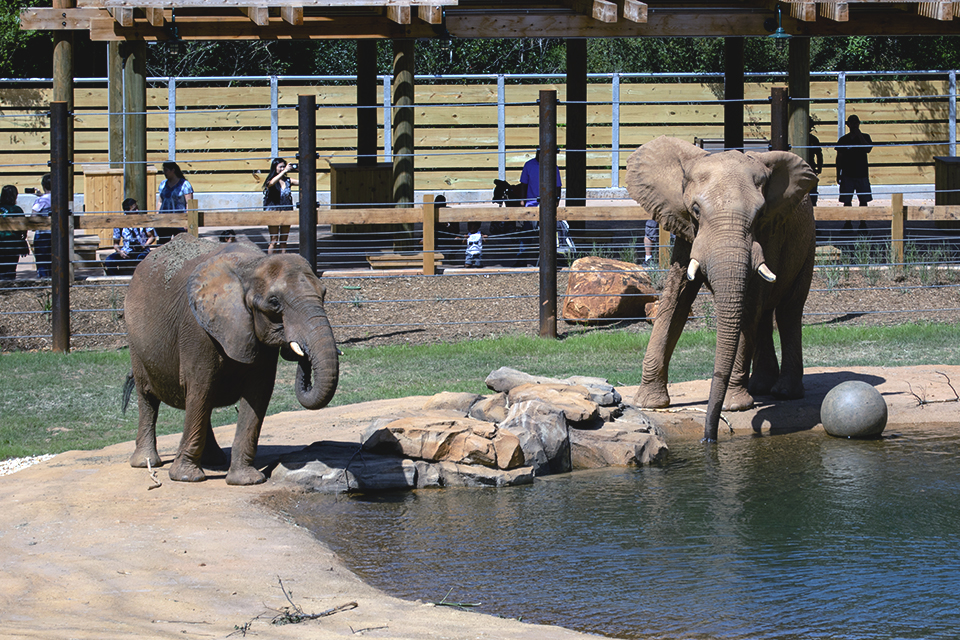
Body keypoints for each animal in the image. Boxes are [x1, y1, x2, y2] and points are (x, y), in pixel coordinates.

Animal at [123, 234, 339, 485]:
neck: (252, 265)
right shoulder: (197, 329)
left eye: (323, 294)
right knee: (149, 397)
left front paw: (246, 481)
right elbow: (201, 386)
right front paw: (186, 478)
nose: (297, 350)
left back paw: (214, 460)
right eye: (274, 302)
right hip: (135, 339)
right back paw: (146, 462)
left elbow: (258, 393)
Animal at [627, 136, 817, 441]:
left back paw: (783, 392)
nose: (710, 437)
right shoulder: (686, 229)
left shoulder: (769, 232)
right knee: (766, 314)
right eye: (695, 210)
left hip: (808, 242)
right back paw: (760, 387)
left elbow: (749, 304)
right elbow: (676, 300)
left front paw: (735, 405)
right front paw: (648, 403)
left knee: (788, 310)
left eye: (760, 214)